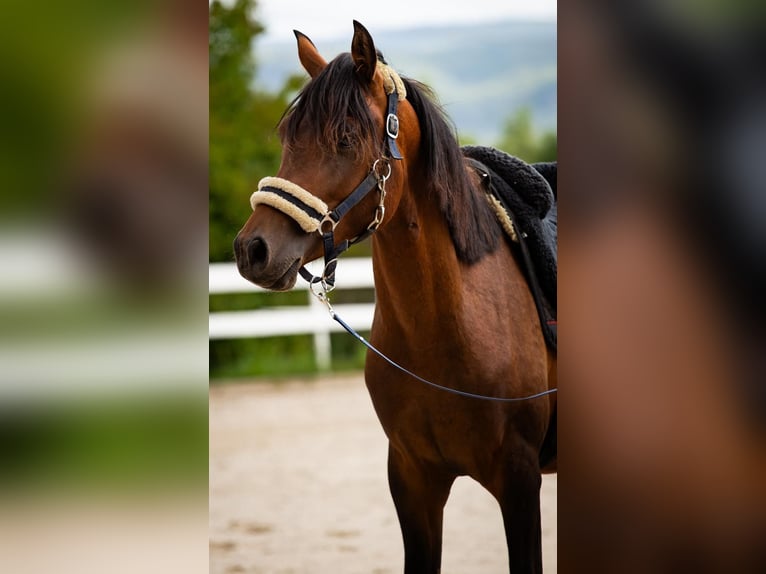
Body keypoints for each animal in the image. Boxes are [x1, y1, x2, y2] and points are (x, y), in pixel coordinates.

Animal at [234, 20, 560, 572]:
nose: (252, 250)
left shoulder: (520, 483)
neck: (446, 327)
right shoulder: (412, 480)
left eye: (345, 138)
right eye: (286, 138)